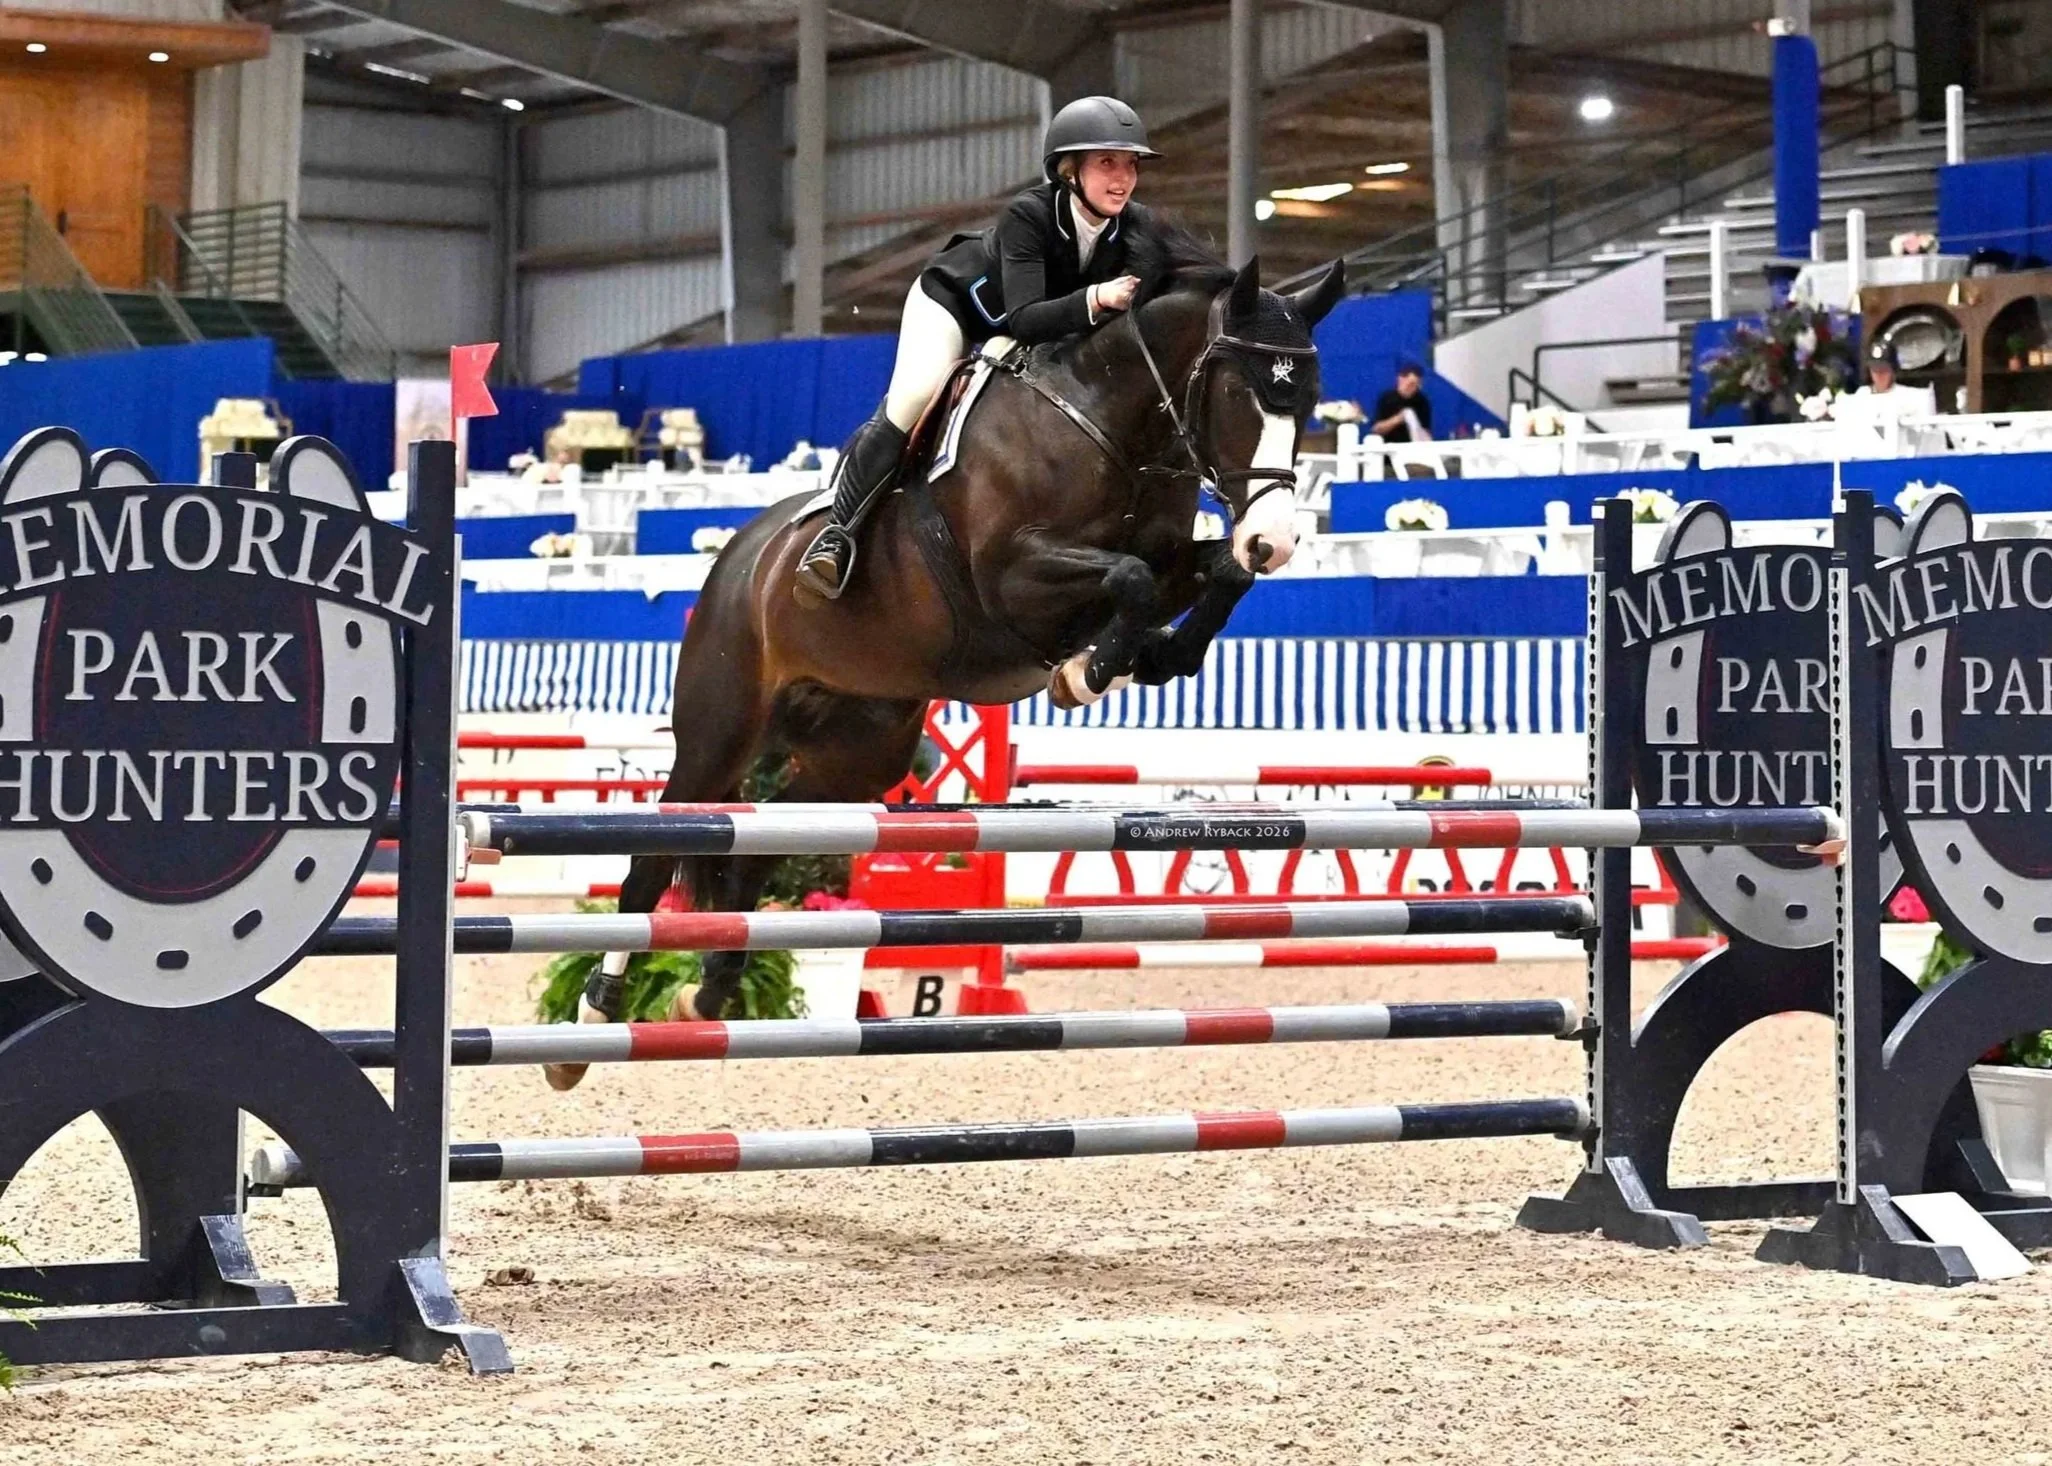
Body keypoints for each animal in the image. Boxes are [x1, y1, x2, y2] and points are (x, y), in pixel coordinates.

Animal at [545, 240, 1347, 1089]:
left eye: (1309, 401)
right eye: (1237, 392)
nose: (1275, 540)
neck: (1109, 426)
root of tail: (739, 556)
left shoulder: (1166, 561)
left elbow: (1213, 575)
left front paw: (1161, 654)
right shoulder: (1011, 582)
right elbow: (1127, 578)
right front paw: (1090, 672)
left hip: (856, 755)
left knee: (765, 848)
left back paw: (706, 993)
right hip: (720, 731)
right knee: (654, 859)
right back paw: (590, 1022)